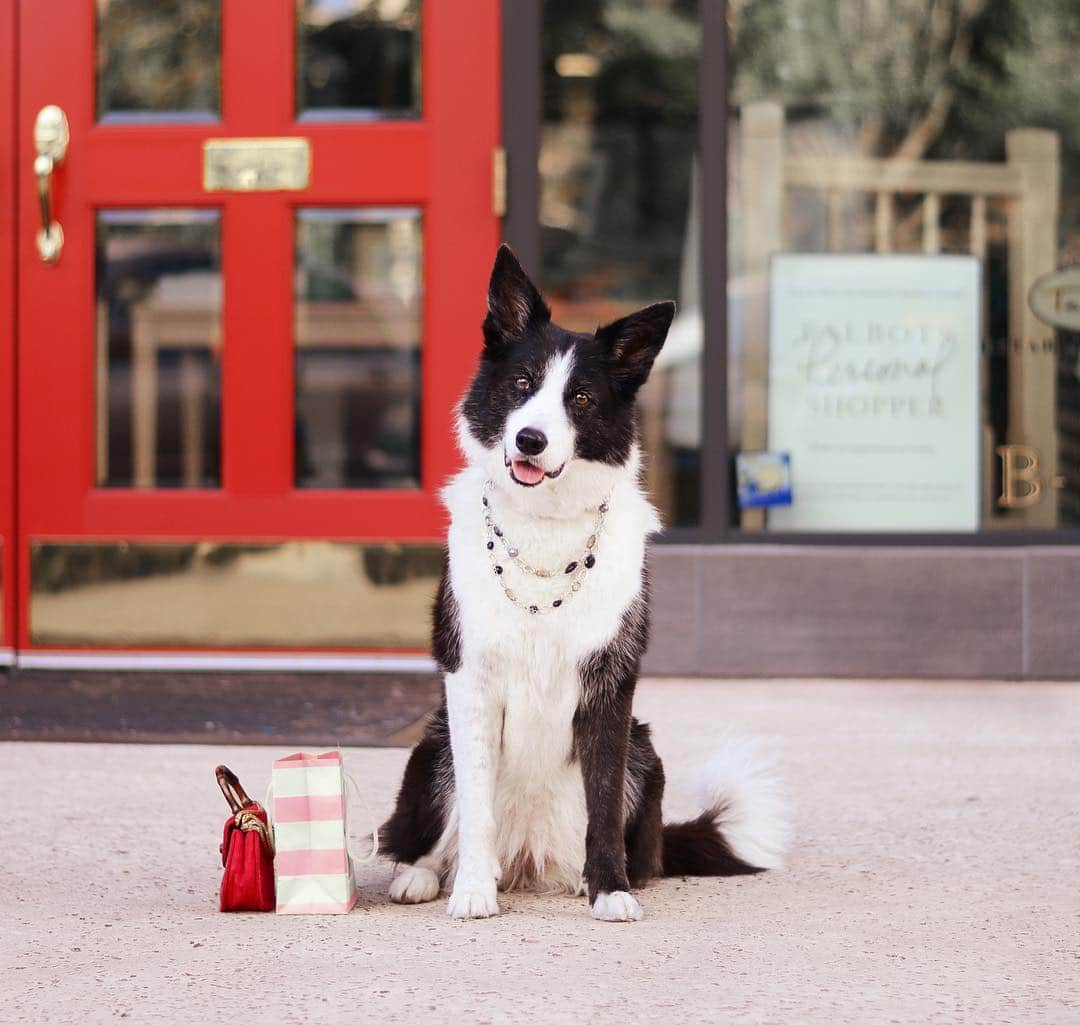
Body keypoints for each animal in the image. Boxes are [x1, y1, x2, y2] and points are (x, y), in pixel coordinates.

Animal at [384, 246, 790, 920]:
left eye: (579, 397)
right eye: (523, 384)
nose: (530, 439)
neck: (544, 529)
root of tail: (528, 858)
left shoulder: (608, 688)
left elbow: (602, 805)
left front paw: (610, 890)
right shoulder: (469, 682)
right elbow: (475, 804)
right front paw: (471, 890)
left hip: (644, 754)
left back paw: (587, 876)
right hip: (433, 746)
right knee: (425, 830)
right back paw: (424, 876)